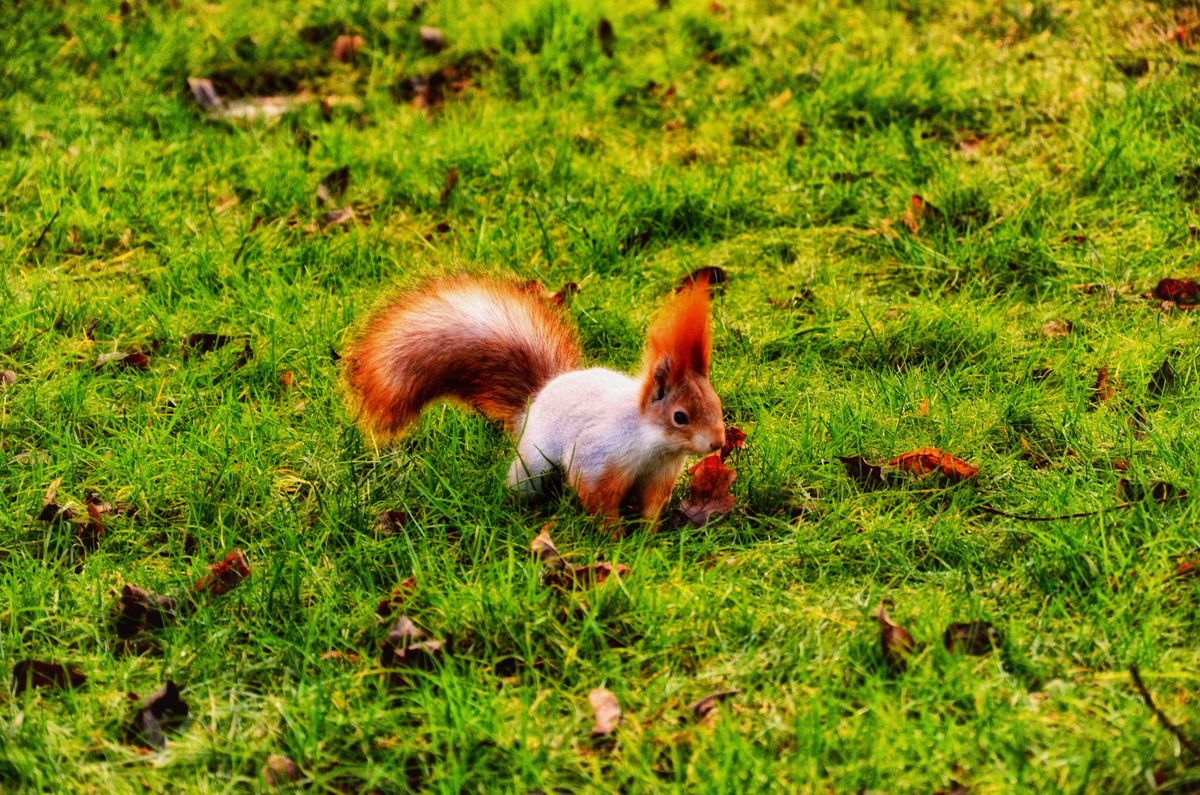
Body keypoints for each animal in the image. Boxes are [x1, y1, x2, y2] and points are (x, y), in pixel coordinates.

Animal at [344, 275, 725, 521]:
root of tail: (538, 396)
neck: (652, 442)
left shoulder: (659, 476)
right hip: (532, 463)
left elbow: (651, 506)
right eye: (680, 416)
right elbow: (597, 499)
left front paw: (648, 535)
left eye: (717, 404)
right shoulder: (599, 459)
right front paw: (614, 537)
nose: (718, 444)